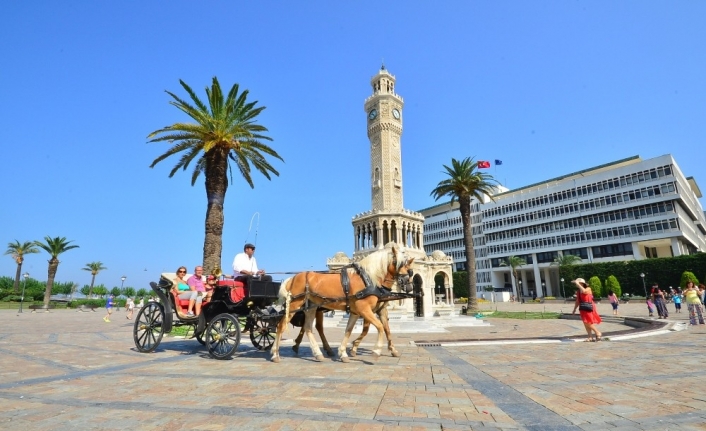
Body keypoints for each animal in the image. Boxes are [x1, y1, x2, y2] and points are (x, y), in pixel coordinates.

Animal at [270, 246, 412, 364]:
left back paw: (317, 353)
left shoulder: (356, 312)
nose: (408, 284)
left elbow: (349, 330)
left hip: (312, 307)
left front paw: (344, 353)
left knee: (308, 327)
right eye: (400, 263)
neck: (368, 279)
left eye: (408, 267)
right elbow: (380, 327)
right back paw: (276, 354)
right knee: (281, 326)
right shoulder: (365, 310)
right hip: (294, 306)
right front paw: (376, 351)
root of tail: (292, 278)